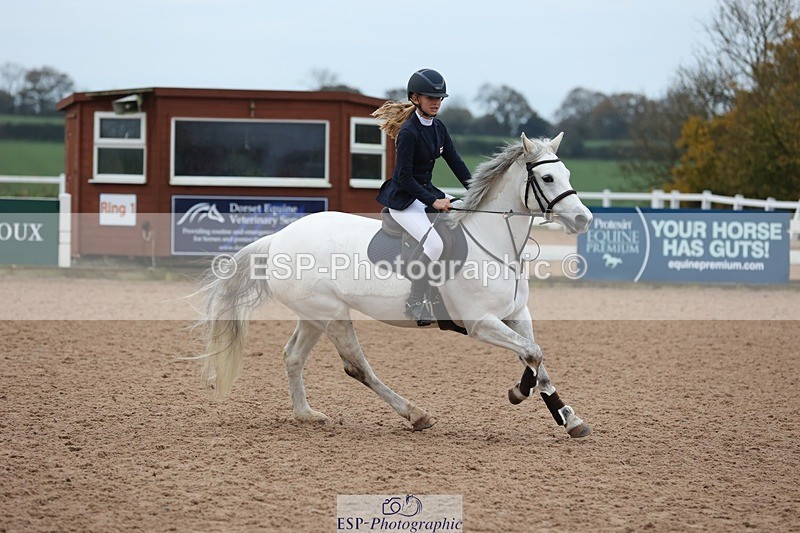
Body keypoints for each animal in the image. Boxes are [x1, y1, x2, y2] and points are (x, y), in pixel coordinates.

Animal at [195, 132, 594, 438]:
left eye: (567, 172)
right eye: (547, 179)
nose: (583, 219)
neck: (493, 241)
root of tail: (277, 238)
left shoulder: (517, 314)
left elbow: (536, 355)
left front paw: (569, 418)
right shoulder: (481, 324)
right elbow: (532, 354)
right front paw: (518, 392)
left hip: (313, 315)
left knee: (293, 356)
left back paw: (306, 414)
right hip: (332, 313)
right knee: (356, 366)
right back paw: (416, 414)